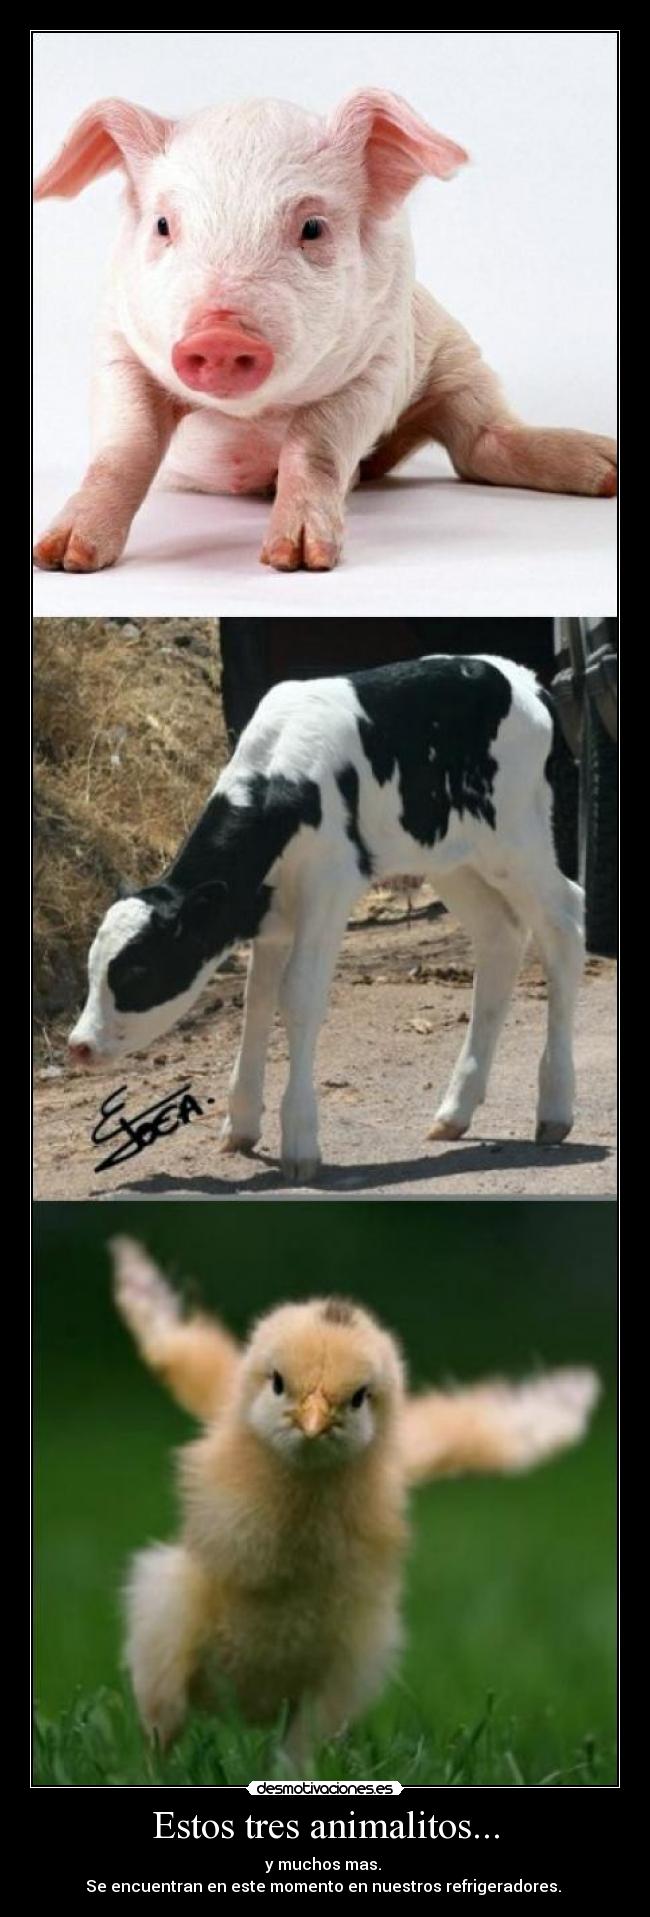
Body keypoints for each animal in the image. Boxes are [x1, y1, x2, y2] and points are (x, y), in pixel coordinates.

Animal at [33, 91, 617, 574]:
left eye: (312, 227)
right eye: (162, 225)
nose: (220, 336)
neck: (252, 417)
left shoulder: (382, 360)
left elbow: (313, 445)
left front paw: (297, 561)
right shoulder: (117, 345)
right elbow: (124, 447)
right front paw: (63, 559)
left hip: (455, 353)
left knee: (478, 441)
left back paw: (605, 468)